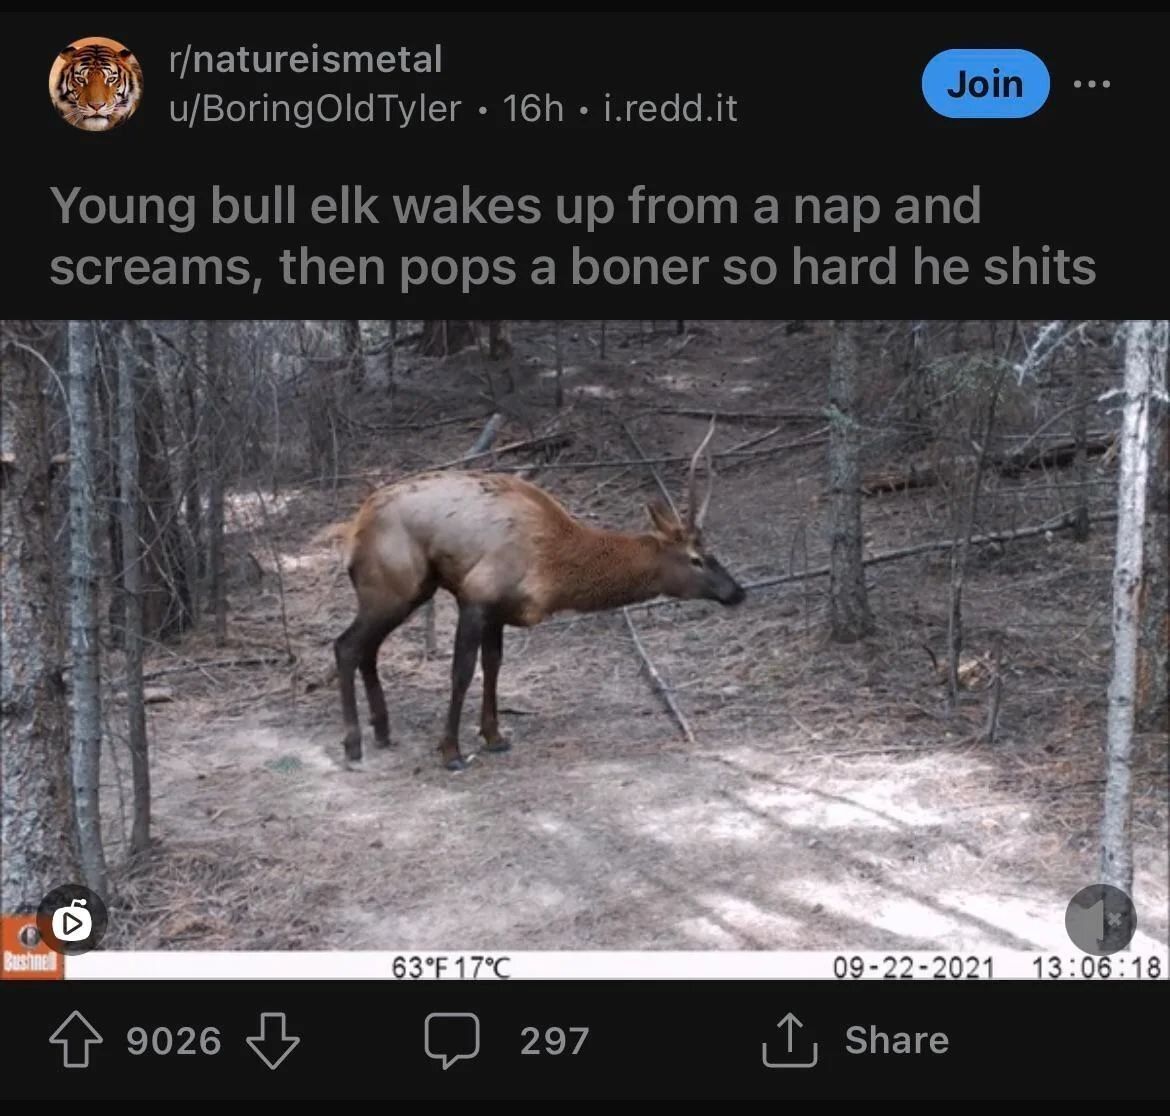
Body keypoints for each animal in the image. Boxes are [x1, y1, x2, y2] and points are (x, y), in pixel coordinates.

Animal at [332, 420, 745, 771]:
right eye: (696, 559)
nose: (737, 591)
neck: (553, 570)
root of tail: (354, 533)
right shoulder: (476, 594)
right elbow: (462, 672)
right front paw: (451, 751)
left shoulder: (498, 610)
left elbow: (493, 666)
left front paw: (494, 736)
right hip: (392, 587)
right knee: (346, 646)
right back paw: (353, 745)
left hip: (410, 591)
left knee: (367, 649)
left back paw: (382, 731)